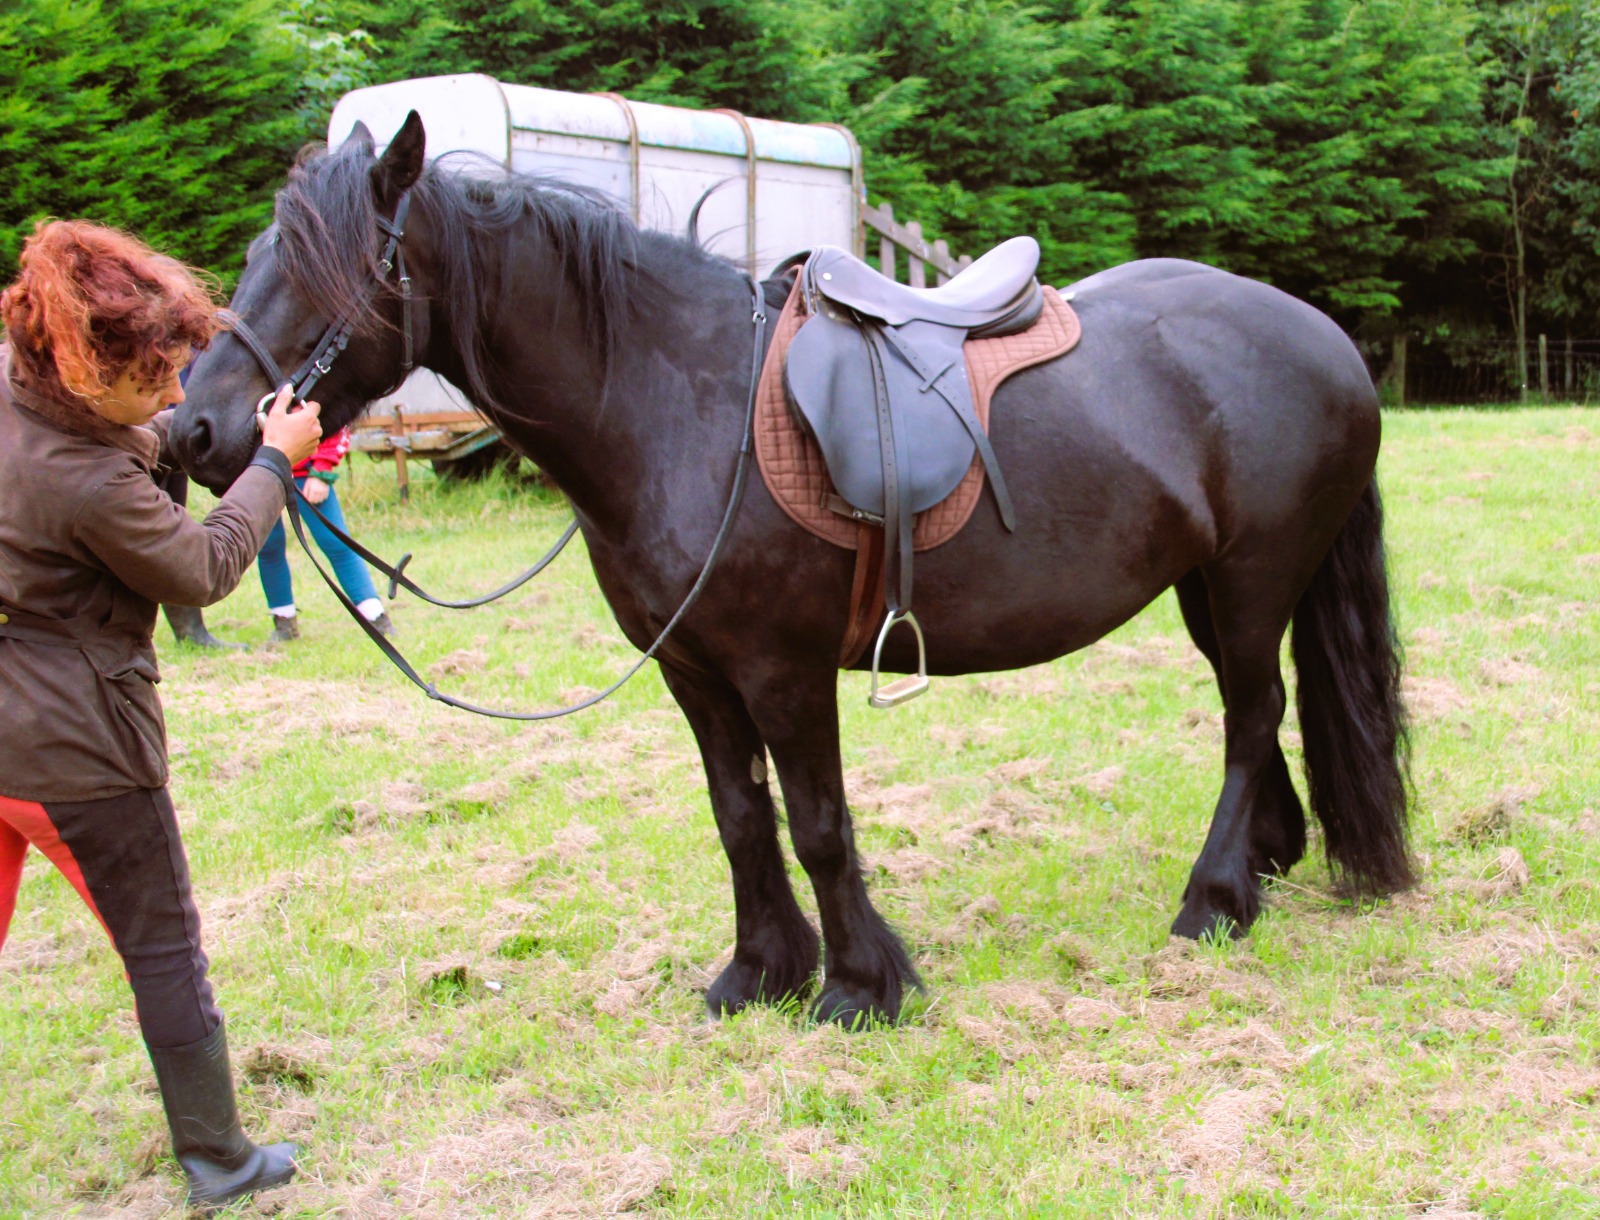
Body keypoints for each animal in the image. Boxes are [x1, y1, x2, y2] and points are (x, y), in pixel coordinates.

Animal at [172, 113, 1412, 1027]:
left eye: (331, 268)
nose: (194, 430)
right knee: (1255, 715)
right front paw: (757, 970)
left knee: (1252, 714)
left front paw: (860, 984)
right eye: (254, 257)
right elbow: (739, 817)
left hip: (1251, 585)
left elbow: (817, 822)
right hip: (1210, 588)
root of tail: (1325, 337)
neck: (681, 403)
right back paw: (1263, 864)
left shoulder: (783, 669)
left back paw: (1211, 899)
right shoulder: (695, 673)